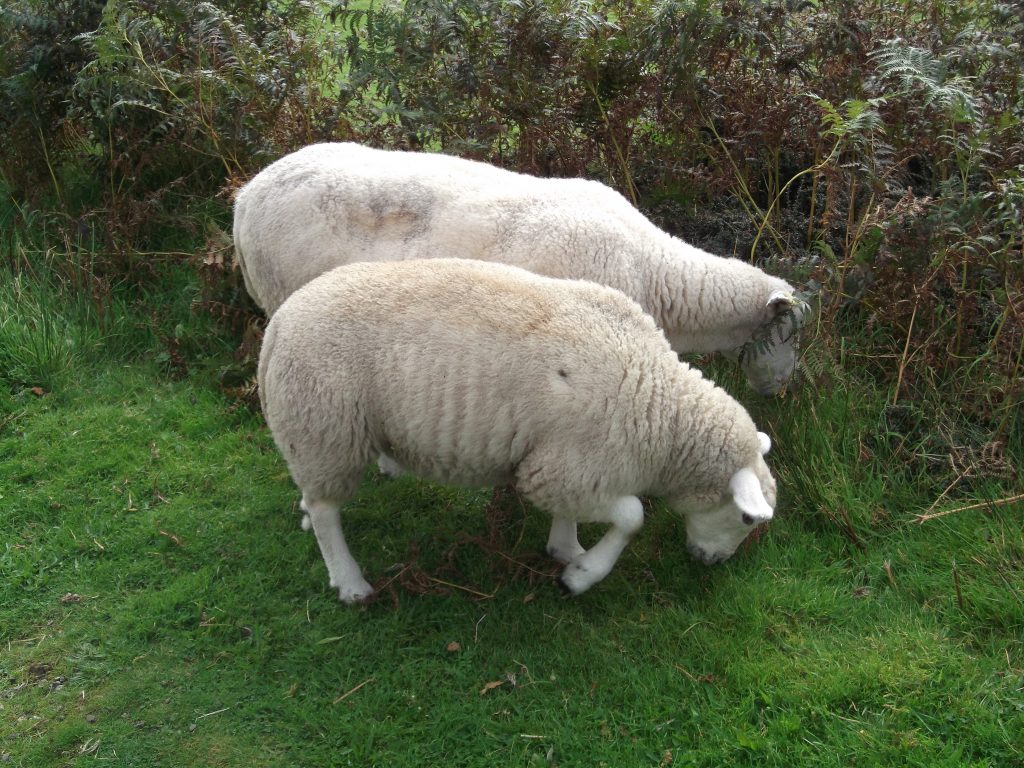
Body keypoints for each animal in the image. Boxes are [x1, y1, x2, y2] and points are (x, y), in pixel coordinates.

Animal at [258, 258, 777, 603]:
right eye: (746, 518)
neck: (662, 405)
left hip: (313, 431)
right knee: (327, 511)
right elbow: (632, 516)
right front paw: (583, 573)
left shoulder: (567, 466)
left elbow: (573, 515)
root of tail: (279, 323)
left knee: (314, 499)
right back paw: (349, 581)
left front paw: (566, 549)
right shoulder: (567, 467)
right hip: (325, 424)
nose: (712, 564)